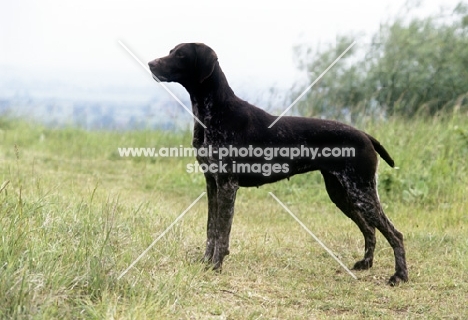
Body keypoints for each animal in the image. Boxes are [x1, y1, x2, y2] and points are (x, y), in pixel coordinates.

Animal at [148, 42, 408, 284]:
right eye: (171, 51)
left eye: (180, 55)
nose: (151, 64)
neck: (213, 114)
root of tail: (365, 135)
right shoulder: (212, 183)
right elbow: (211, 229)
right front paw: (205, 262)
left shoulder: (227, 185)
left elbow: (222, 232)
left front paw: (216, 265)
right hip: (342, 194)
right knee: (370, 229)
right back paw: (366, 263)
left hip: (361, 192)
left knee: (395, 234)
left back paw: (400, 276)